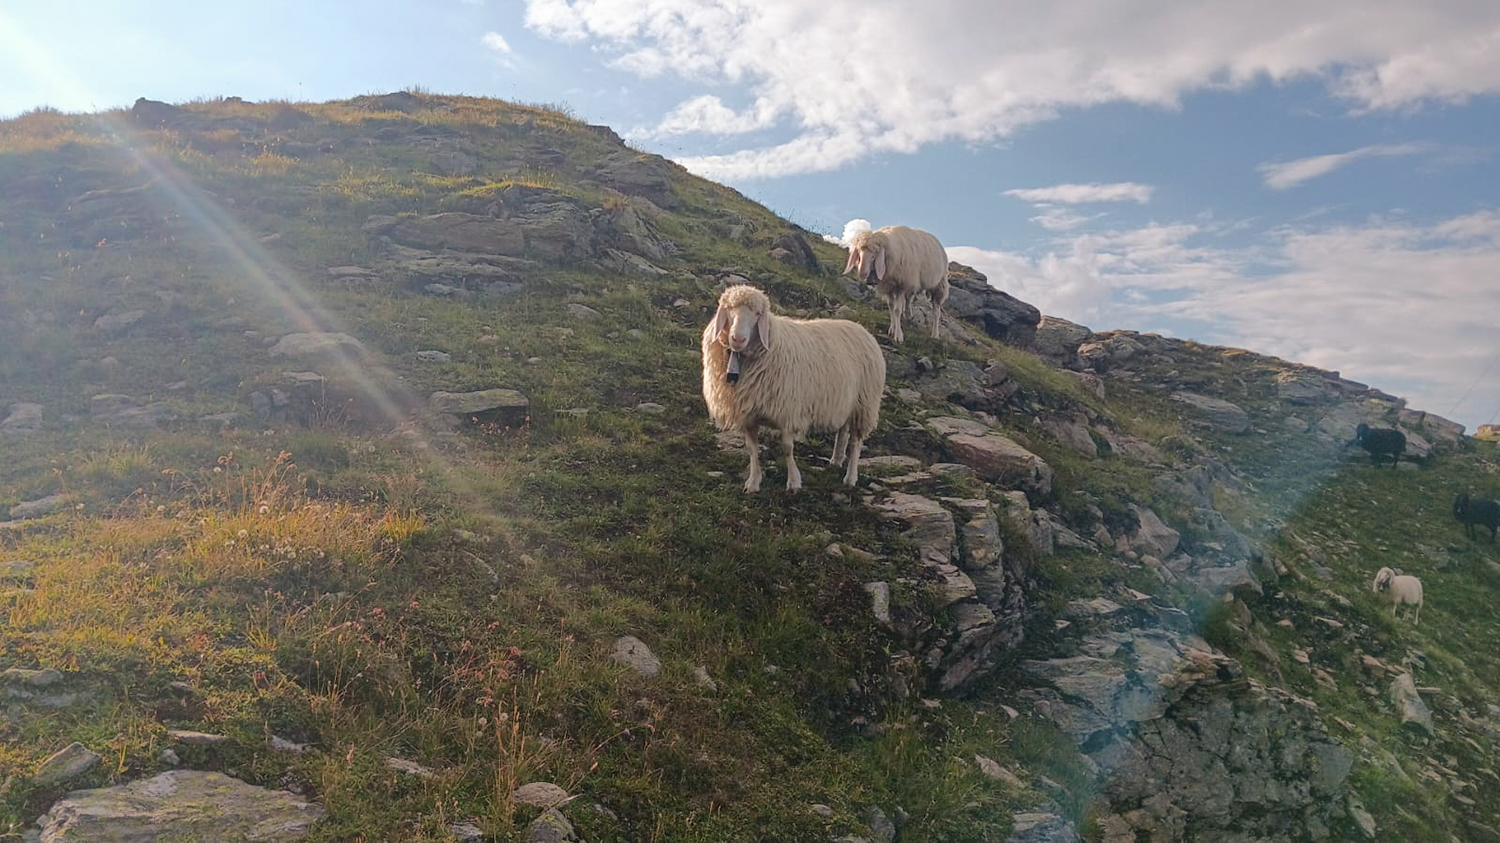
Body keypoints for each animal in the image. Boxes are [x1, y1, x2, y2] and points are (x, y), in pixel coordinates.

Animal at [702, 284, 886, 492]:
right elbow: (752, 448)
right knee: (842, 432)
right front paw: (753, 482)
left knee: (856, 442)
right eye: (729, 309)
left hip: (865, 404)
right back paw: (836, 460)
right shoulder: (748, 413)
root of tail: (861, 328)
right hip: (846, 401)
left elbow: (787, 448)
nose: (738, 339)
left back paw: (850, 477)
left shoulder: (788, 411)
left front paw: (794, 482)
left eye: (757, 314)